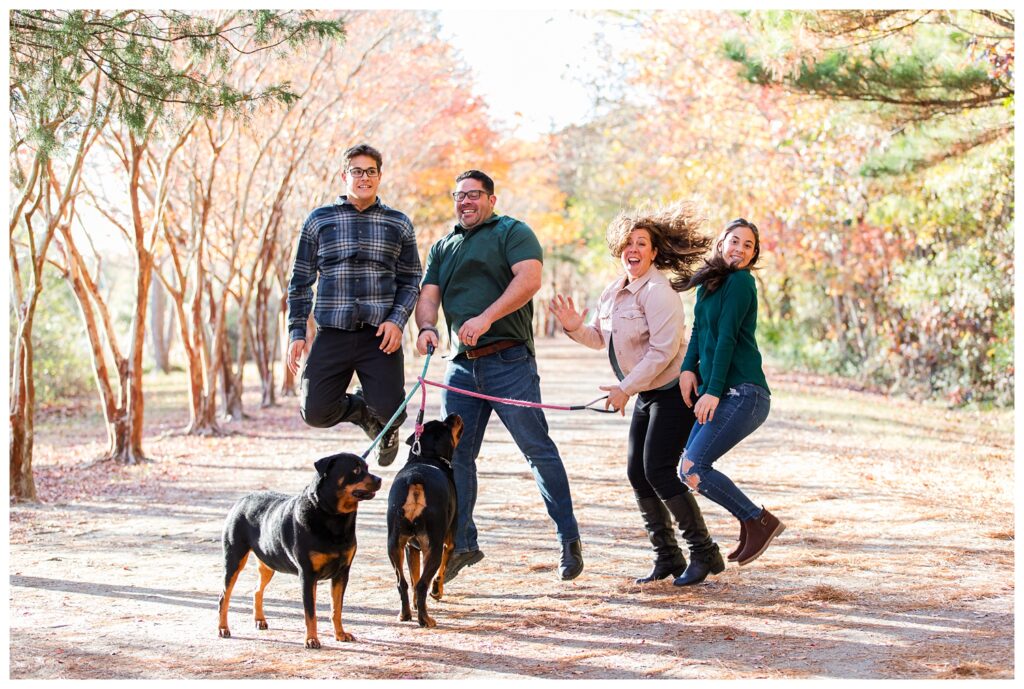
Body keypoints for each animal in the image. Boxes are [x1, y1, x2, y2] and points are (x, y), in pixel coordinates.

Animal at [385, 413, 462, 630]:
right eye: (447, 424)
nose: (454, 415)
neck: (427, 457)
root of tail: (416, 479)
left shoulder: (411, 547)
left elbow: (413, 575)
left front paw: (415, 605)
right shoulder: (448, 543)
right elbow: (440, 570)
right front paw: (437, 591)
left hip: (394, 544)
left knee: (402, 582)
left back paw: (405, 614)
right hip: (433, 546)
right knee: (422, 585)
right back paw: (425, 620)